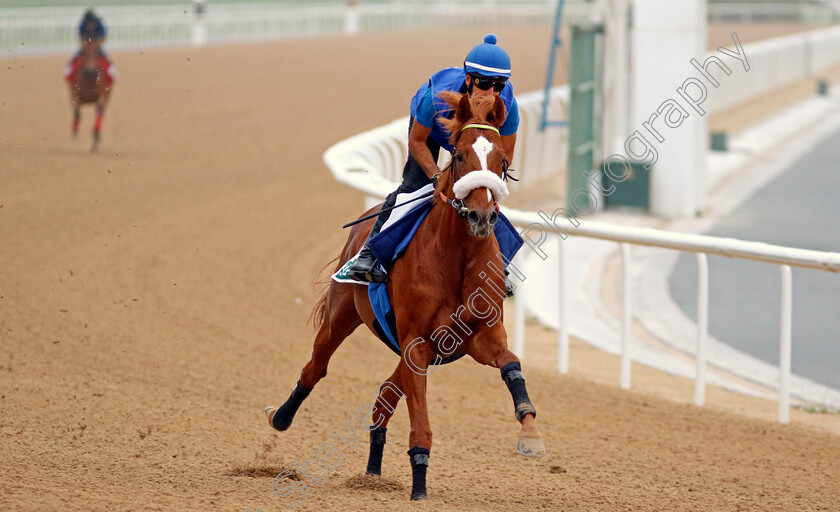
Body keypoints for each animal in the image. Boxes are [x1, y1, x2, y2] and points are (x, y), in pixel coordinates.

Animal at [266, 91, 548, 500]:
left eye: (502, 160)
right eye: (459, 155)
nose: (481, 216)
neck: (456, 257)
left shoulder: (478, 337)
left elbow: (512, 364)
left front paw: (530, 433)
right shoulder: (416, 341)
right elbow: (421, 420)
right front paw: (419, 485)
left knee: (386, 392)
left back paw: (372, 473)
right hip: (341, 318)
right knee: (316, 368)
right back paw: (282, 416)